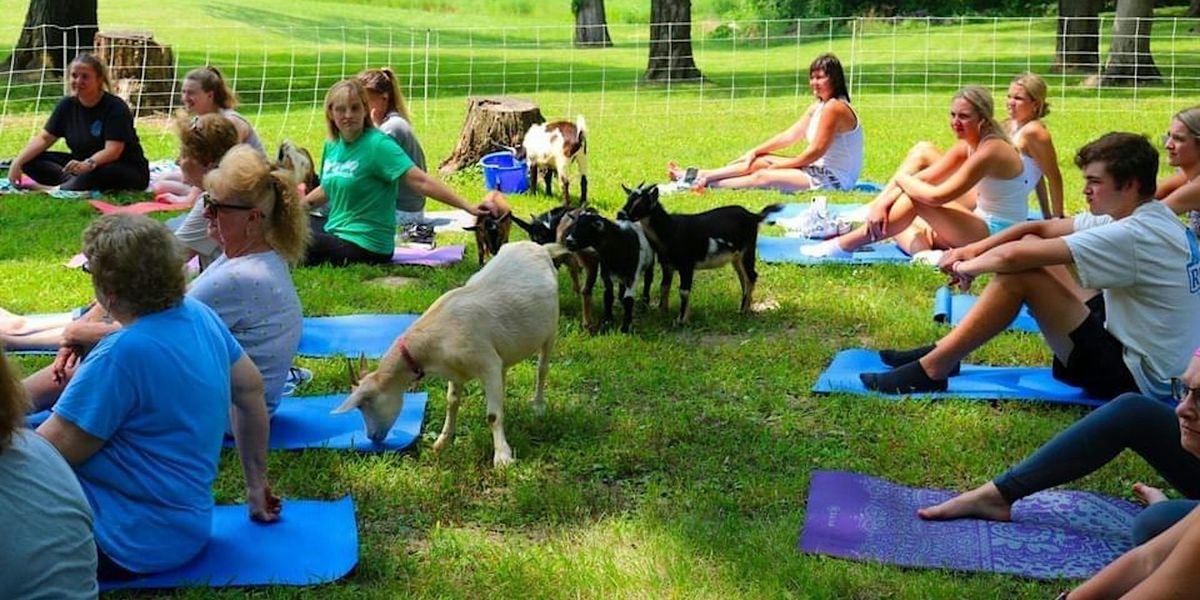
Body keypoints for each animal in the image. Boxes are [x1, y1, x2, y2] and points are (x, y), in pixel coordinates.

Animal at [331, 241, 559, 465]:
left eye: (363, 404)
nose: (371, 437)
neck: (435, 338)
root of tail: (541, 248)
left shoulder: (486, 363)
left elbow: (493, 416)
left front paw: (503, 458)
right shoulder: (457, 371)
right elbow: (452, 402)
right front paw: (441, 443)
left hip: (550, 330)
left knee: (542, 368)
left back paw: (538, 405)